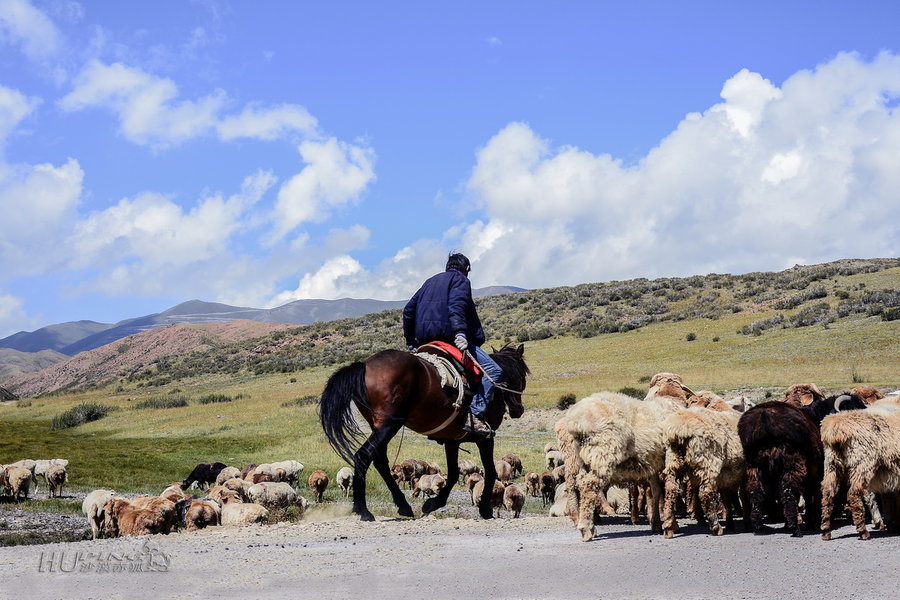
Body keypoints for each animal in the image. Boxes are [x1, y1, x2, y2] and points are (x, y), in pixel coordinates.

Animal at [318, 342, 528, 520]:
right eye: (522, 376)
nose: (518, 410)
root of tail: (364, 366)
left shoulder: (452, 439)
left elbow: (453, 473)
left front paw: (433, 504)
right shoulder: (485, 438)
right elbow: (490, 471)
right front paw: (485, 509)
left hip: (378, 426)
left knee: (379, 461)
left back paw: (403, 506)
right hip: (388, 424)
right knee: (363, 456)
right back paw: (363, 510)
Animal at [656, 406, 748, 536]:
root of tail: (678, 429)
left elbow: (728, 498)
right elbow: (742, 496)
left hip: (673, 459)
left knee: (671, 489)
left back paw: (669, 527)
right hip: (707, 462)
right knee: (705, 493)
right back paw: (716, 527)